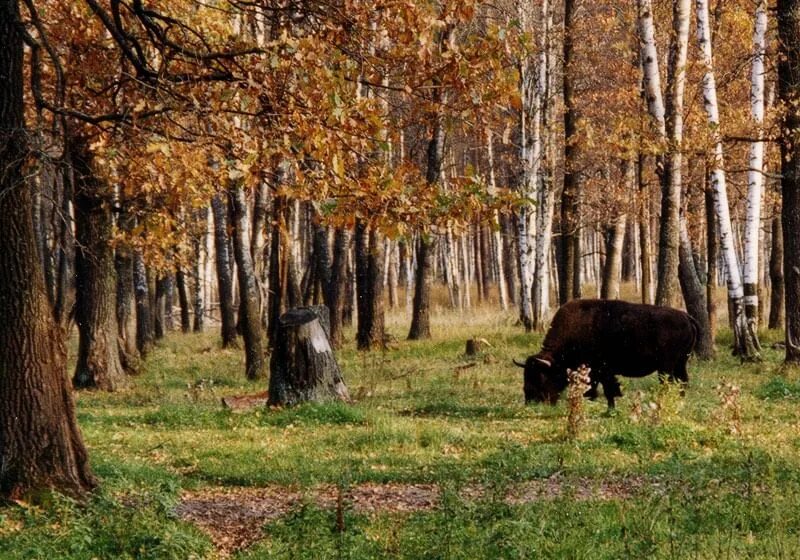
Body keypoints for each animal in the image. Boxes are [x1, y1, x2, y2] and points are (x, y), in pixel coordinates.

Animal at [516, 300, 696, 410]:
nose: (530, 400)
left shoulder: (601, 370)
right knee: (683, 381)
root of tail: (686, 317)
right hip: (680, 363)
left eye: (541, 376)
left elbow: (607, 388)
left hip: (666, 366)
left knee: (669, 383)